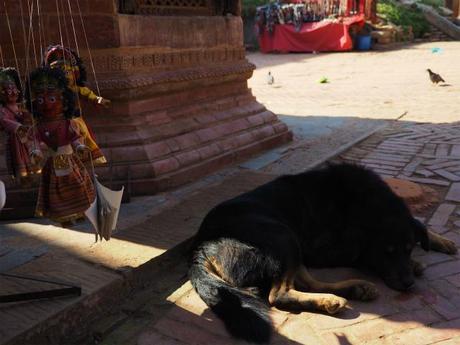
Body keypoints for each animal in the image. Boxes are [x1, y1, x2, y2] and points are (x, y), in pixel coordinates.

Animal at [188, 163, 456, 342]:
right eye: (386, 253)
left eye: (408, 249)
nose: (409, 284)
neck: (364, 202)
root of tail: (199, 245)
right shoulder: (324, 250)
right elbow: (362, 257)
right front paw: (417, 264)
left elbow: (420, 225)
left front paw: (440, 241)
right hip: (283, 235)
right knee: (280, 294)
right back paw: (335, 296)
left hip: (289, 244)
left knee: (304, 282)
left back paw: (352, 290)